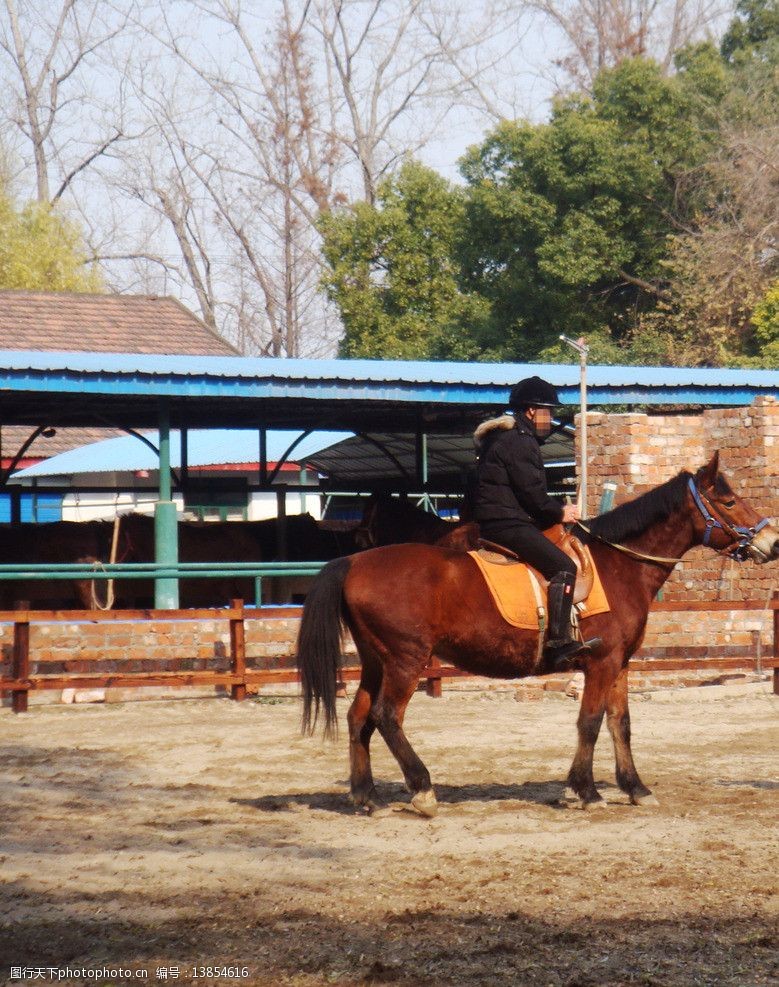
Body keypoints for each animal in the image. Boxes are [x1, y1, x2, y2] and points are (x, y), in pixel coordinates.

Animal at [298, 456, 779, 820]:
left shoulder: (620, 663)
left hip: (377, 662)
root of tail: (354, 561)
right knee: (386, 717)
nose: (772, 543)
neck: (618, 564)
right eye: (730, 500)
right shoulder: (601, 663)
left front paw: (635, 788)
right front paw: (586, 791)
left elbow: (620, 724)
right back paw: (422, 790)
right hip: (406, 661)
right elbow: (590, 722)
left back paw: (368, 797)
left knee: (359, 718)